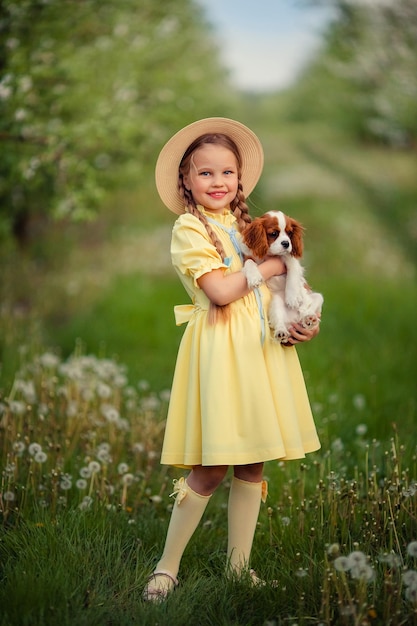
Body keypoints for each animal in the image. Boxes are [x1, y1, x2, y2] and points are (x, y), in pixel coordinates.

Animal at [240, 212, 322, 344]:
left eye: (289, 233)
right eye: (274, 233)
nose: (286, 243)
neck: (270, 254)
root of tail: (293, 321)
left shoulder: (291, 259)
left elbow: (292, 273)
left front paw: (292, 297)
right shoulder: (249, 257)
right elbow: (249, 263)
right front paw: (254, 277)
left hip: (316, 298)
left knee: (310, 307)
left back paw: (309, 318)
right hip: (276, 303)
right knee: (279, 322)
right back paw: (281, 332)